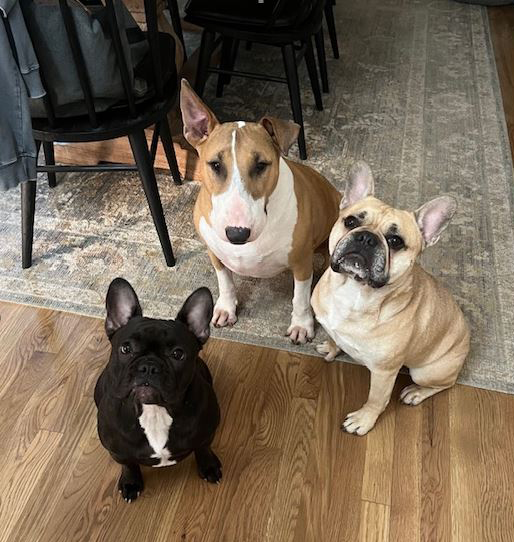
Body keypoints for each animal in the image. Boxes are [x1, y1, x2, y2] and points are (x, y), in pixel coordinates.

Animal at [94, 278, 221, 502]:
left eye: (178, 354)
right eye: (126, 349)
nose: (149, 366)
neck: (154, 411)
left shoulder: (207, 434)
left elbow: (203, 448)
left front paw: (209, 467)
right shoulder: (117, 451)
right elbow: (128, 464)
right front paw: (131, 482)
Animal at [180, 79, 341, 344]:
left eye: (261, 165)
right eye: (215, 165)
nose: (237, 234)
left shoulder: (301, 262)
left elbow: (300, 298)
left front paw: (301, 326)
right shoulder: (214, 252)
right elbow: (225, 281)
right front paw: (226, 309)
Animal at [311, 162, 470, 435]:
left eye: (395, 241)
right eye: (350, 221)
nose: (366, 237)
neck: (354, 292)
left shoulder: (384, 372)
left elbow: (376, 399)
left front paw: (363, 420)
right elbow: (333, 337)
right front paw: (331, 347)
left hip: (426, 371)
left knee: (444, 385)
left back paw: (416, 393)